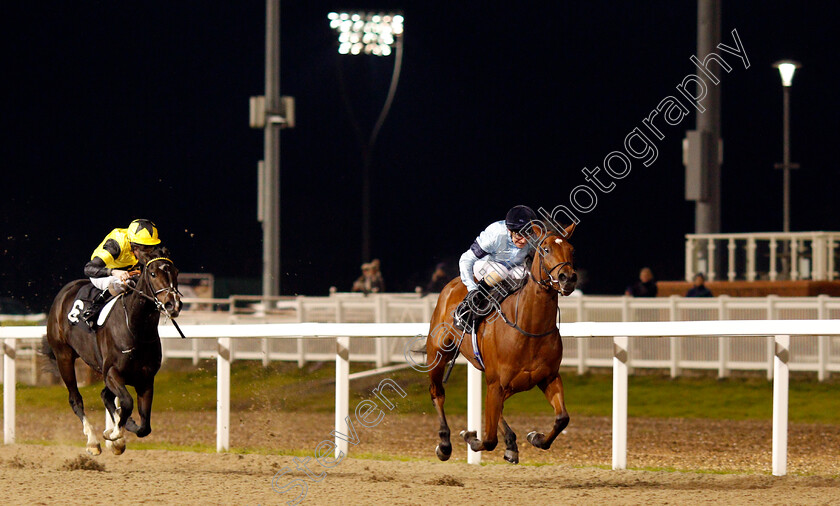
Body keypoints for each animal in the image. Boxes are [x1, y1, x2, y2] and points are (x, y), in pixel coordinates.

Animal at [41, 247, 182, 456]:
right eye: (153, 273)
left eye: (176, 272)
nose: (174, 304)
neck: (135, 328)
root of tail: (65, 291)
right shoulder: (112, 372)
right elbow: (127, 402)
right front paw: (114, 433)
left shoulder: (145, 379)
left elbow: (144, 426)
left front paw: (120, 431)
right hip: (63, 356)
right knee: (76, 399)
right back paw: (92, 441)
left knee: (105, 395)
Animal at [426, 221, 576, 462]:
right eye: (545, 249)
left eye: (571, 250)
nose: (567, 278)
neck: (529, 329)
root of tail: (452, 284)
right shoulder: (496, 382)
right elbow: (488, 439)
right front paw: (469, 436)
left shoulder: (549, 377)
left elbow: (562, 418)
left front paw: (535, 437)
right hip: (438, 354)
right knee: (437, 393)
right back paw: (444, 444)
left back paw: (511, 443)